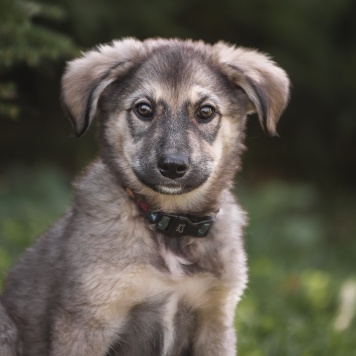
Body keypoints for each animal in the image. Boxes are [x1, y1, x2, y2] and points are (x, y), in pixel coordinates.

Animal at [0, 37, 290, 354]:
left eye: (206, 112)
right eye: (143, 109)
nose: (173, 166)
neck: (169, 224)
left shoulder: (214, 319)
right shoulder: (88, 320)